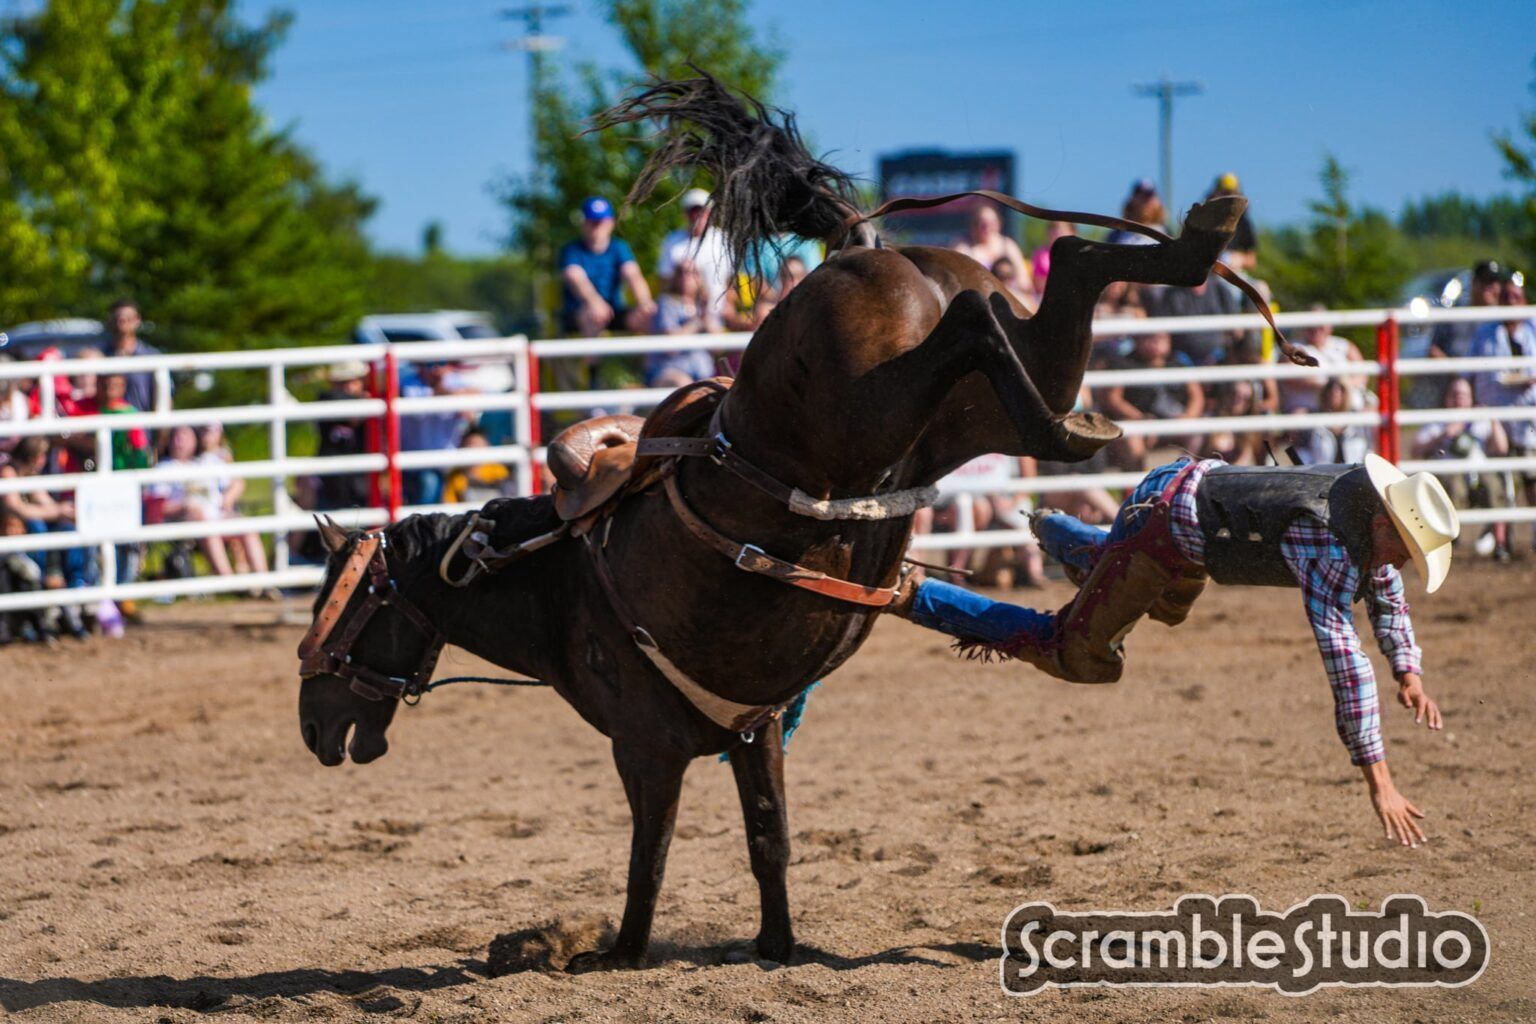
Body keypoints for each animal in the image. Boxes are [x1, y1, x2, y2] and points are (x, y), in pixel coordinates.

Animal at [298, 71, 1251, 971]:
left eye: (337, 611)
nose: (312, 729)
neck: (557, 581)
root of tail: (860, 252)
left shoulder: (645, 750)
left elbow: (651, 855)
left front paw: (620, 952)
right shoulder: (756, 732)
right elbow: (769, 839)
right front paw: (775, 944)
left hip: (873, 405)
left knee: (980, 322)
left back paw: (1078, 411)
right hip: (973, 412)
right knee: (1067, 266)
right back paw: (1192, 251)